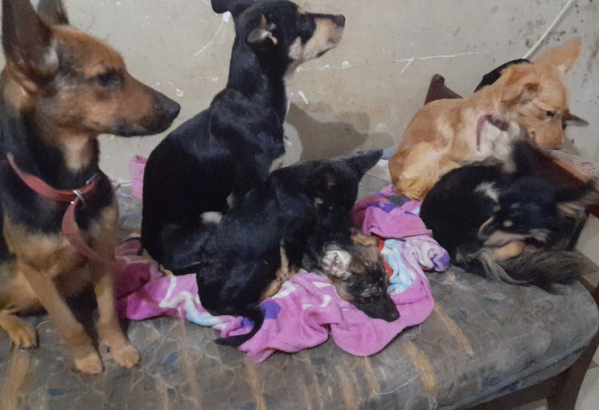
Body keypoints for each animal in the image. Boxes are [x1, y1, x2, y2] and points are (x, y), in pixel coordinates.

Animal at [0, 0, 180, 374]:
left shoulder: (102, 253)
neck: (70, 192)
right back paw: (19, 328)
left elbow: (108, 311)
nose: (176, 109)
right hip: (23, 283)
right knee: (4, 308)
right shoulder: (36, 273)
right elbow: (67, 323)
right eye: (105, 77)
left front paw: (119, 347)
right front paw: (86, 356)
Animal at [142, 0, 346, 271]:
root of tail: (153, 255)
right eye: (303, 19)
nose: (343, 17)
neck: (253, 100)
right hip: (209, 218)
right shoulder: (248, 191)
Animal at [194, 151, 382, 347]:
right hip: (260, 264)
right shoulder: (294, 235)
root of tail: (211, 307)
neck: (304, 188)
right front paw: (289, 273)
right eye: (332, 209)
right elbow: (291, 261)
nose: (338, 233)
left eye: (347, 209)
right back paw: (274, 284)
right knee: (254, 301)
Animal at [389, 38, 582, 201]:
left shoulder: (498, 164)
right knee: (410, 188)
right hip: (424, 150)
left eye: (564, 119)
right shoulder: (448, 159)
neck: (499, 127)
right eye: (549, 113)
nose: (559, 146)